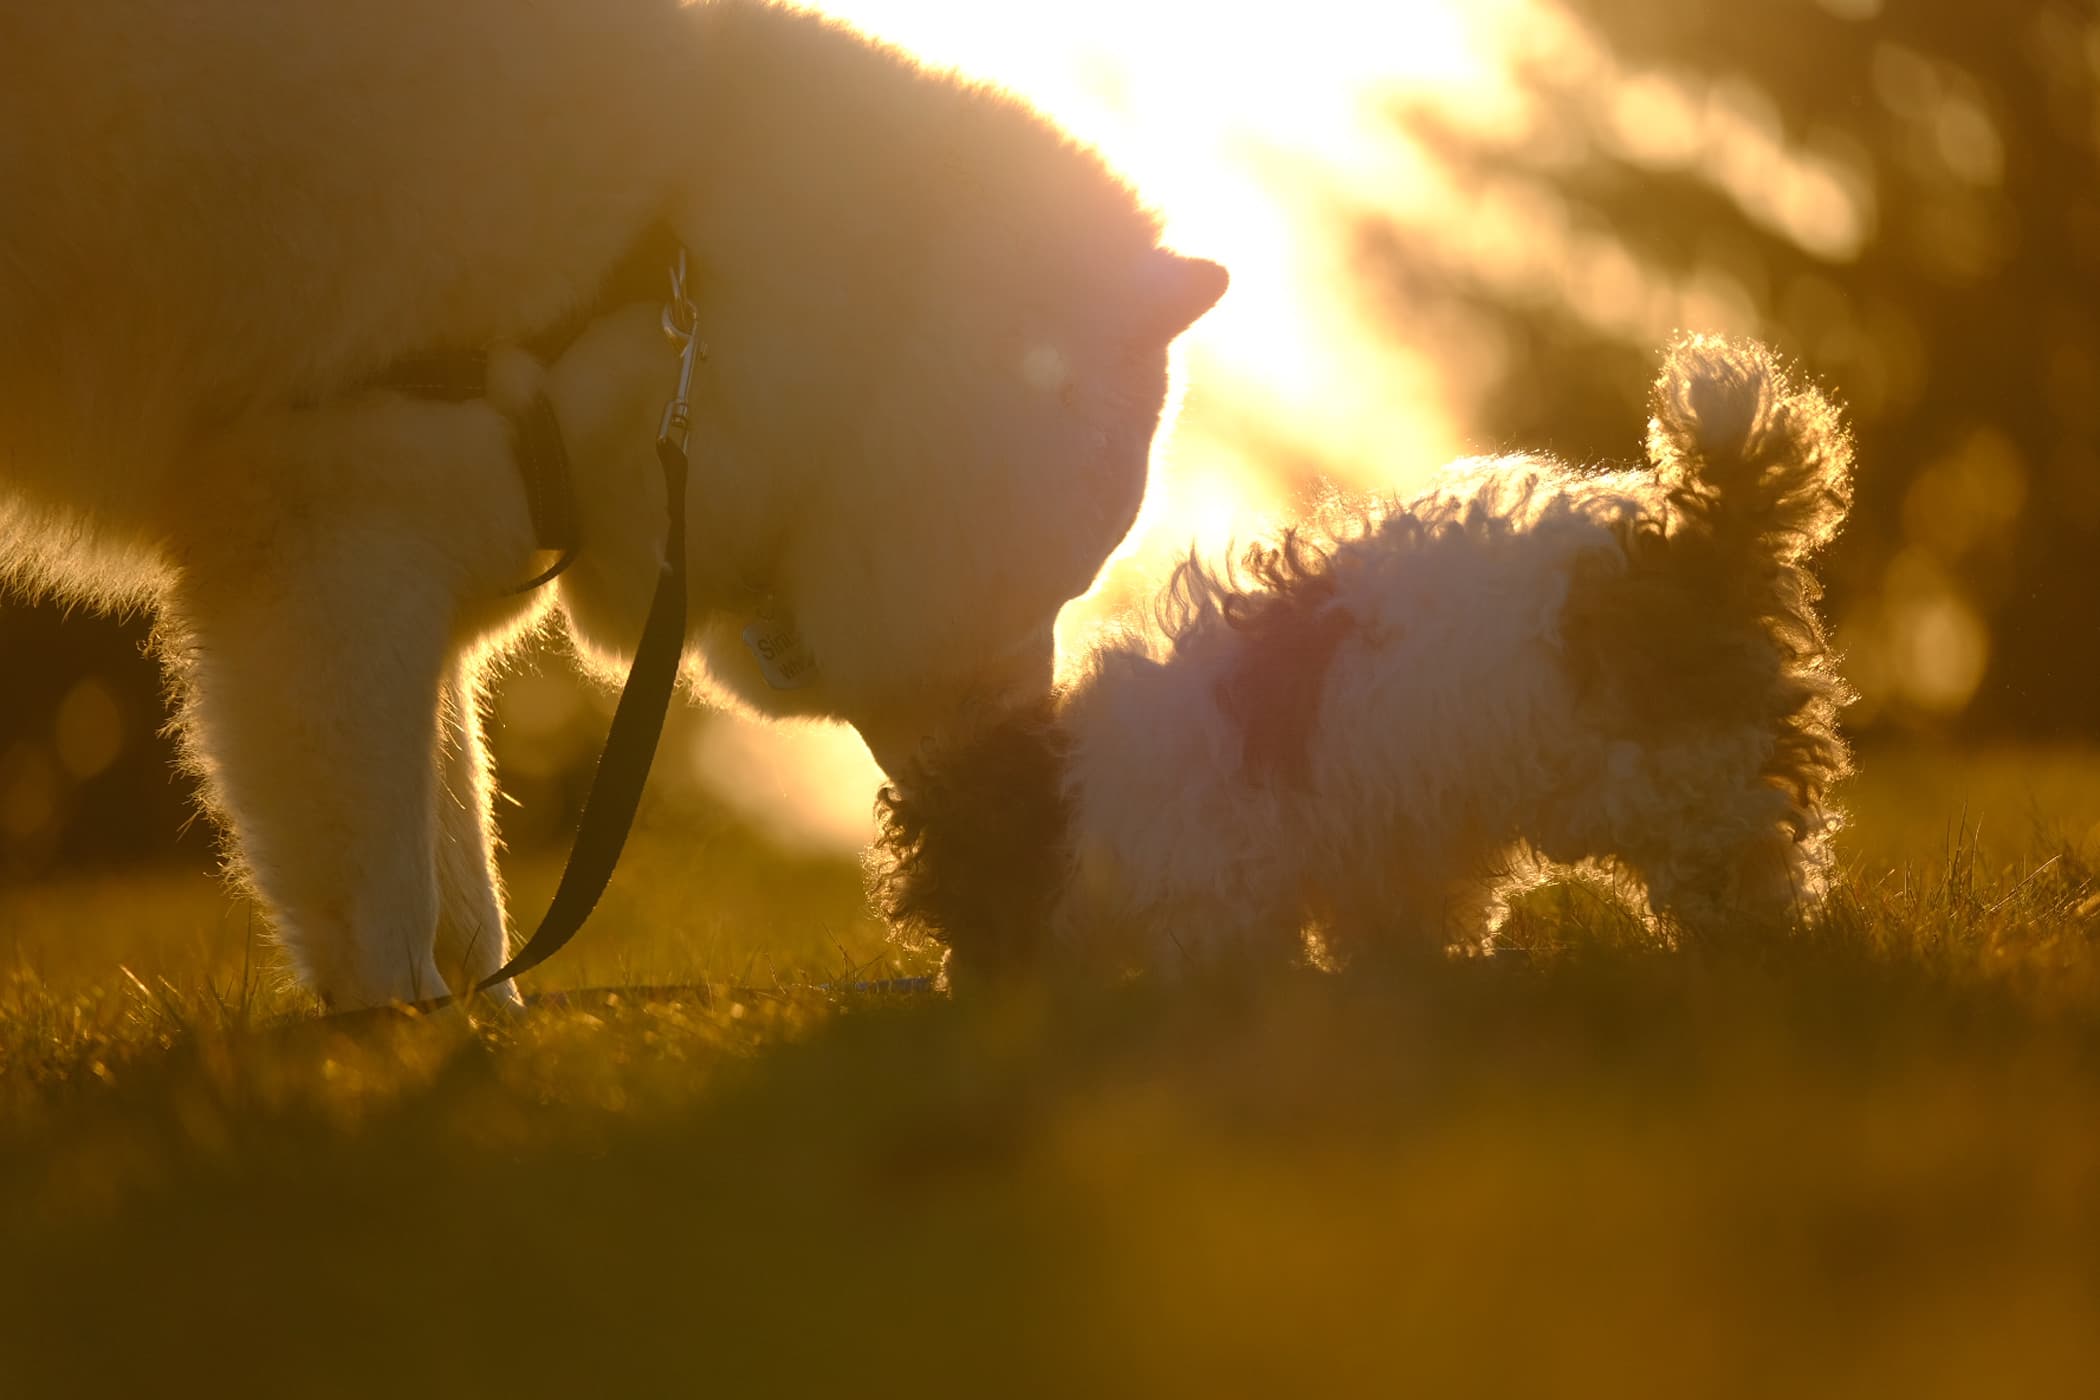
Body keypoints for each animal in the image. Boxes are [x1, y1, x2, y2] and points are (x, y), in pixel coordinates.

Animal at [0, 0, 1226, 1007]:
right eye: (1071, 580)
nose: (1042, 786)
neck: (668, 262)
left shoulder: (412, 573)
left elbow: (467, 875)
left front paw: (482, 1034)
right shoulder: (333, 549)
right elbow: (388, 895)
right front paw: (394, 1050)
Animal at [877, 335, 1864, 982]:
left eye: (954, 893)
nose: (962, 987)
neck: (1072, 787)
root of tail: (1698, 542)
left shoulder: (1216, 865)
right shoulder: (1386, 844)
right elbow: (1401, 914)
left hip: (1667, 766)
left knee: (1737, 839)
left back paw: (1740, 931)